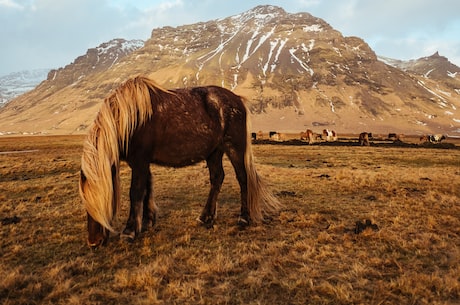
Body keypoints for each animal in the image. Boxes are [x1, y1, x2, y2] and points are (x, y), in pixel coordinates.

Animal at [78, 75, 280, 247]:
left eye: (101, 198)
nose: (94, 242)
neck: (131, 119)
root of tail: (237, 100)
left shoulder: (139, 161)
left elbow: (136, 192)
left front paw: (129, 231)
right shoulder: (144, 163)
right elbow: (147, 188)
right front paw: (148, 221)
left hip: (234, 148)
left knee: (243, 178)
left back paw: (243, 218)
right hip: (214, 152)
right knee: (217, 178)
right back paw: (206, 217)